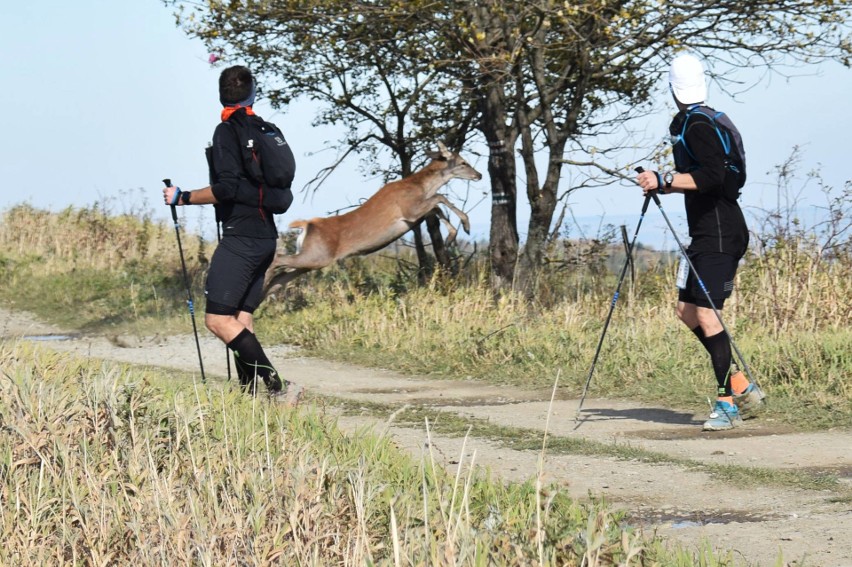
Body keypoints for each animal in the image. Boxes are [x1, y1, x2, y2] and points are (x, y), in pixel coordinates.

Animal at [262, 142, 482, 298]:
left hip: (309, 260)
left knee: (280, 277)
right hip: (318, 255)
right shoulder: (409, 209)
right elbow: (440, 198)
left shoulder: (415, 215)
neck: (420, 186)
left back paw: (262, 297)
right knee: (277, 259)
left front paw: (452, 236)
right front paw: (465, 225)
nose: (479, 174)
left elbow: (436, 207)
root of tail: (307, 226)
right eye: (463, 162)